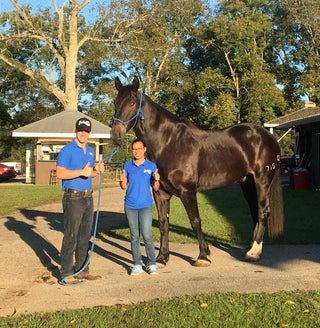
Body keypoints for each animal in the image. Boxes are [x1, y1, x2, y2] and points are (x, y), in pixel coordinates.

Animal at [111, 76, 284, 266]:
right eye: (115, 102)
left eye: (132, 103)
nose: (115, 135)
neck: (168, 143)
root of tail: (269, 137)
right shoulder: (160, 193)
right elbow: (164, 223)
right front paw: (162, 257)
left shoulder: (187, 191)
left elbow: (195, 221)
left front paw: (203, 255)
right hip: (247, 182)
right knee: (254, 210)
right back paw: (250, 247)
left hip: (262, 181)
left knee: (263, 211)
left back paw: (254, 252)